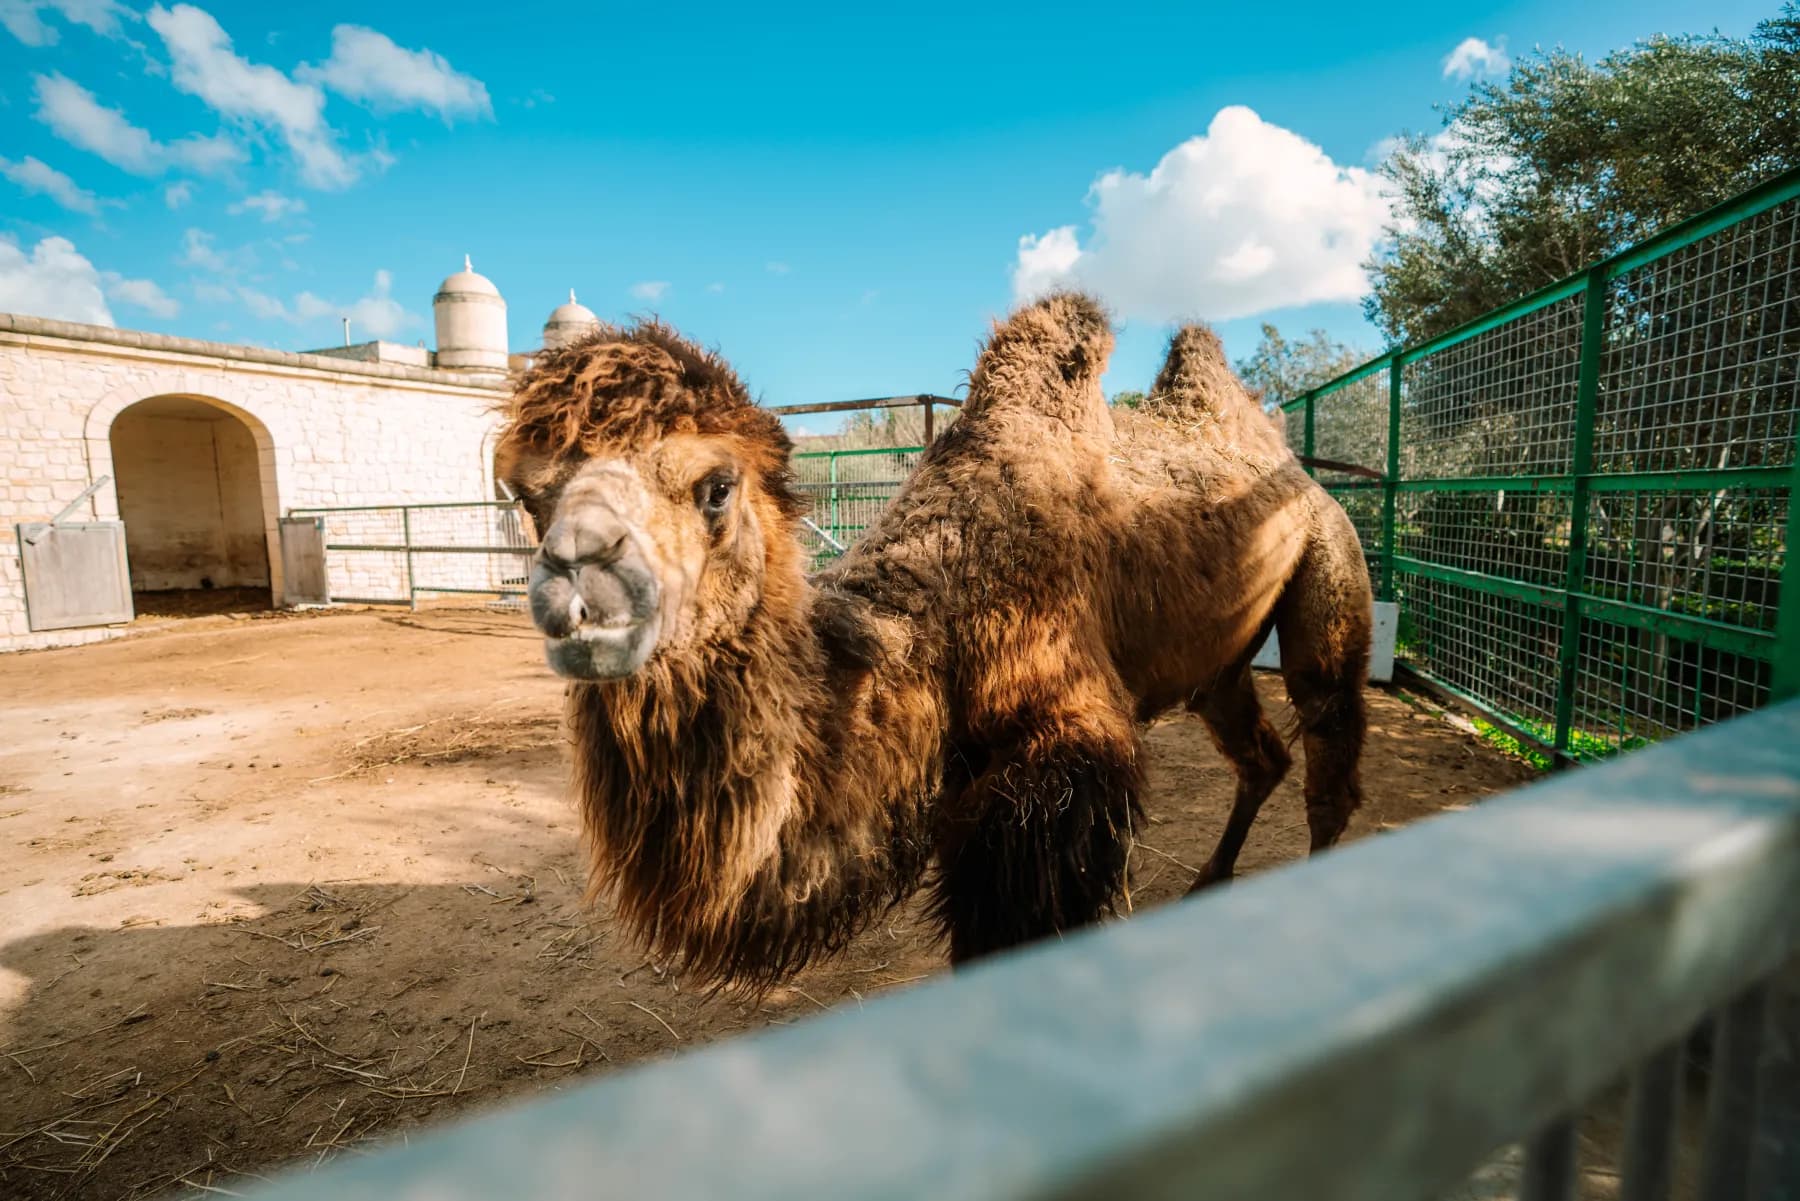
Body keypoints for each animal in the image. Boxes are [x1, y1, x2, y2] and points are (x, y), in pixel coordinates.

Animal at [495, 292, 1372, 989]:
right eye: (527, 494)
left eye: (716, 487)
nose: (576, 588)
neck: (933, 620)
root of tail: (1294, 462)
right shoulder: (965, 774)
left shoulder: (1064, 752)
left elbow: (1022, 922)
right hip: (1216, 664)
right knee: (1261, 753)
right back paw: (1210, 880)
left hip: (1330, 558)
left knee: (1327, 735)